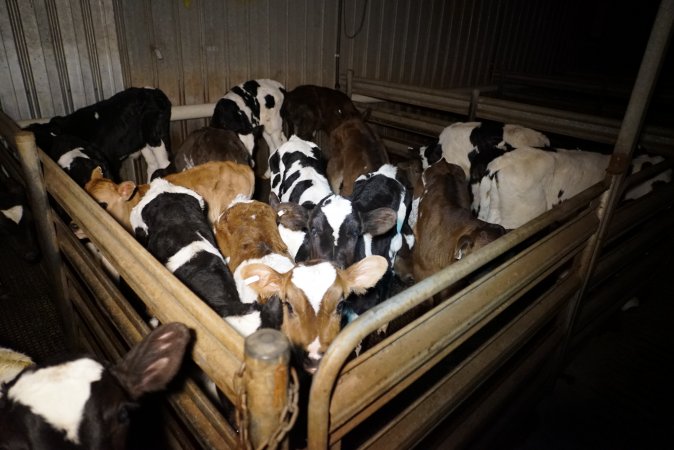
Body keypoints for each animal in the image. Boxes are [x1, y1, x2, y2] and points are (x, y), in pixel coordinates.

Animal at [25, 87, 173, 182]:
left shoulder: (109, 160)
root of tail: (154, 92)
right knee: (152, 164)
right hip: (144, 143)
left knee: (164, 163)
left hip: (156, 137)